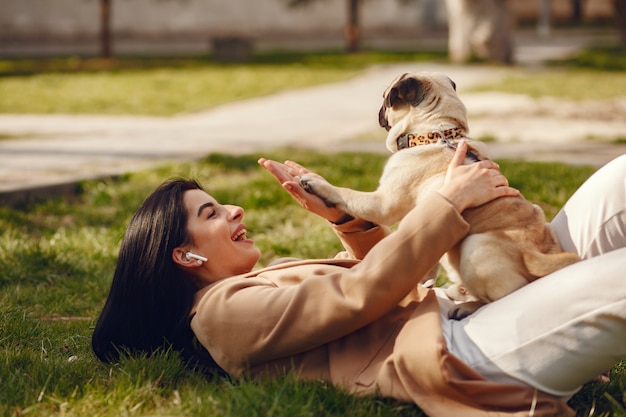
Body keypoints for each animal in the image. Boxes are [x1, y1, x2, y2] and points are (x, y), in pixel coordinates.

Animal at [300, 71, 576, 318]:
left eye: (385, 98)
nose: (378, 111)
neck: (434, 133)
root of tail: (539, 257)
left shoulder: (382, 203)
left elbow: (345, 193)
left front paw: (315, 183)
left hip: (476, 246)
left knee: (497, 299)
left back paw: (467, 305)